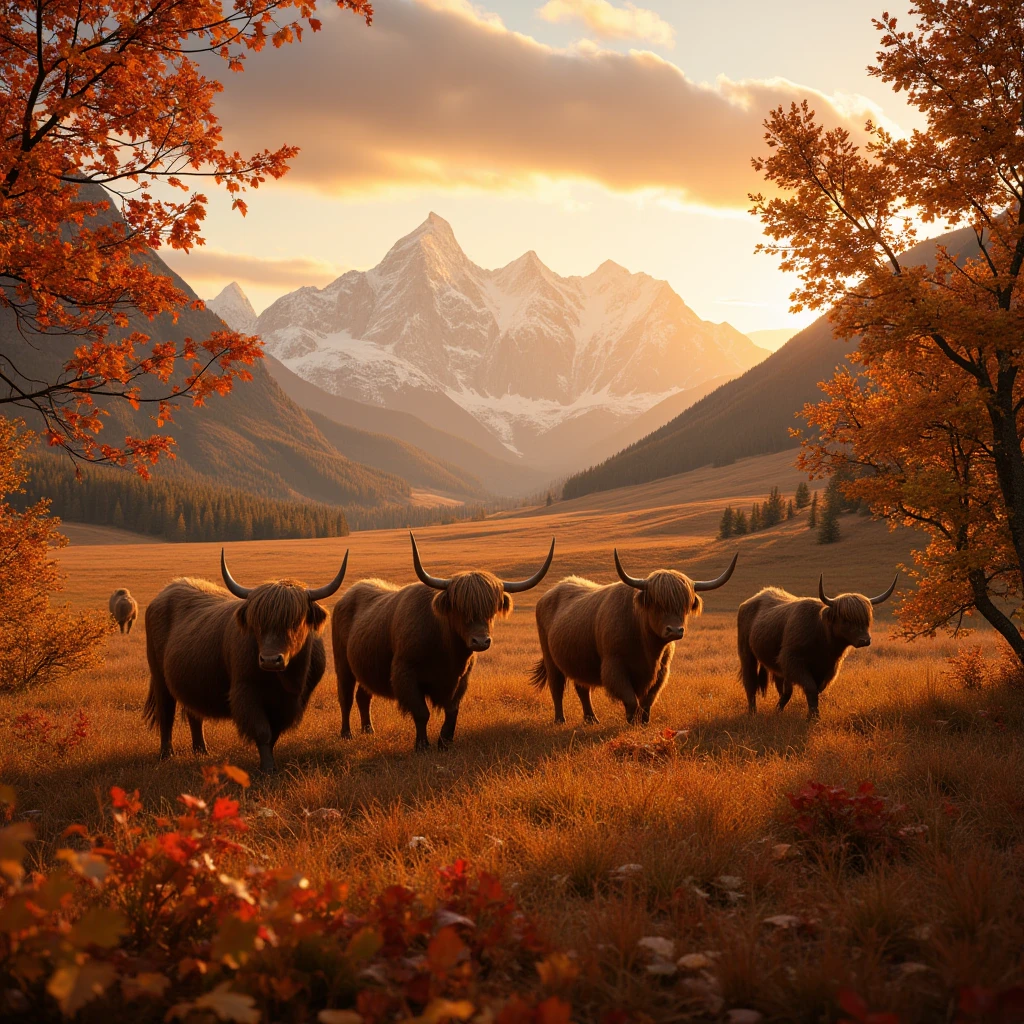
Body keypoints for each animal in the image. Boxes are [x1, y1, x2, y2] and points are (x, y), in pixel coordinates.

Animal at [140, 548, 350, 770]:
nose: (270, 660)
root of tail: (167, 591)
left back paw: (201, 750)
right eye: (257, 623)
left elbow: (274, 733)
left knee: (194, 714)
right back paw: (166, 754)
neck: (284, 679)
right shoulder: (246, 693)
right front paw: (267, 768)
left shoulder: (291, 703)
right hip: (159, 677)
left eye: (295, 622)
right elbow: (262, 731)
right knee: (166, 712)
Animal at [329, 536, 552, 753]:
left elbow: (452, 711)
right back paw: (346, 734)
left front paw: (445, 743)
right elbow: (421, 712)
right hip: (343, 665)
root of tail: (346, 596)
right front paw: (422, 746)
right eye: (460, 609)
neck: (446, 650)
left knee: (363, 696)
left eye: (491, 609)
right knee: (346, 697)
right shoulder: (405, 674)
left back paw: (368, 730)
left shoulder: (461, 679)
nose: (481, 641)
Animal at [528, 548, 737, 724]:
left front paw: (643, 722)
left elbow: (647, 701)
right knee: (557, 687)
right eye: (656, 603)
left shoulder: (661, 671)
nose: (675, 630)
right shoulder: (614, 667)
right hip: (550, 658)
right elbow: (630, 699)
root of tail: (549, 594)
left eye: (684, 605)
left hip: (579, 661)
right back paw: (560, 720)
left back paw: (591, 719)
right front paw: (631, 720)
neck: (647, 645)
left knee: (582, 688)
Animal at [737, 573, 897, 716]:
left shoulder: (828, 668)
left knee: (783, 689)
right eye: (846, 619)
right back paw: (753, 712)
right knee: (750, 682)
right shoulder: (793, 661)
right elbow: (810, 688)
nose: (865, 640)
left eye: (866, 619)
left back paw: (778, 710)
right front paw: (813, 717)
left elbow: (816, 690)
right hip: (746, 653)